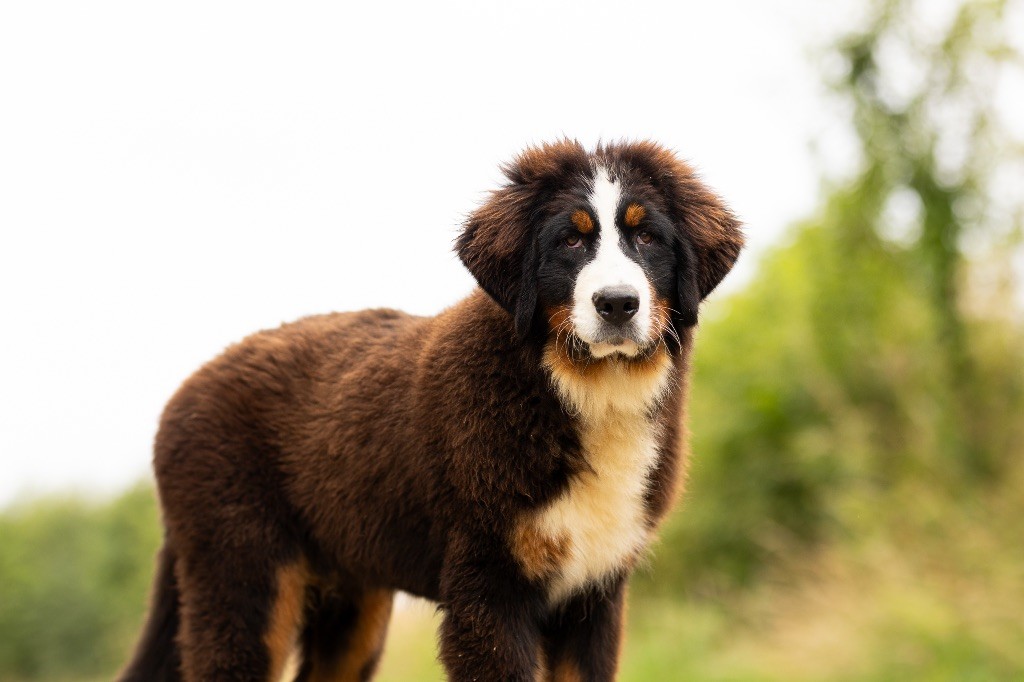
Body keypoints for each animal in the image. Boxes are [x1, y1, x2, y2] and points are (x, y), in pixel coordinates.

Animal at [119, 139, 745, 679]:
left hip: (352, 603)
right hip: (243, 581)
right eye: (569, 241)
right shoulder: (487, 587)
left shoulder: (595, 593)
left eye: (648, 237)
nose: (617, 304)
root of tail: (187, 388)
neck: (585, 392)